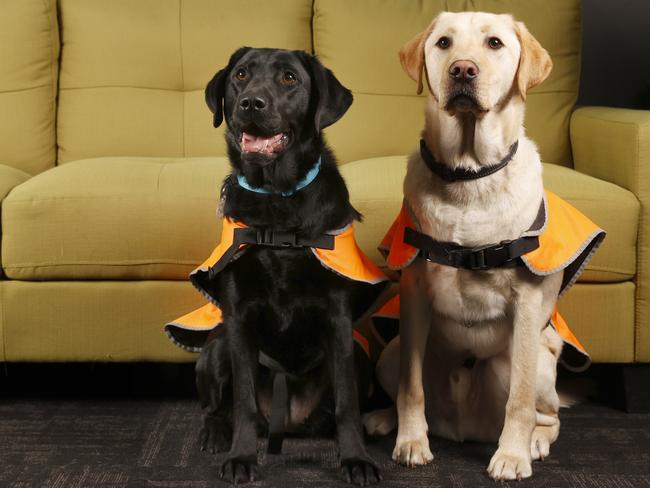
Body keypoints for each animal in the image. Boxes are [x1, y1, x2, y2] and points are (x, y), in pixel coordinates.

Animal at [195, 48, 382, 484]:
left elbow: (348, 404)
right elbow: (244, 401)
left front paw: (356, 459)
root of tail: (290, 421)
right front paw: (242, 457)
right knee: (216, 406)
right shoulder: (239, 318)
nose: (251, 103)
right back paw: (214, 433)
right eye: (240, 75)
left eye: (289, 79)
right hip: (215, 347)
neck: (277, 203)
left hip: (360, 355)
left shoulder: (337, 318)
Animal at [364, 10, 572, 480]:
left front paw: (511, 456)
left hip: (538, 362)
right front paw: (410, 440)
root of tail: (463, 428)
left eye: (494, 43)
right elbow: (411, 387)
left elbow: (519, 402)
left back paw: (533, 442)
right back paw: (384, 419)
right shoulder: (414, 294)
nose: (462, 70)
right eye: (444, 43)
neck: (469, 175)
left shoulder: (528, 304)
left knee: (548, 414)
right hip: (389, 352)